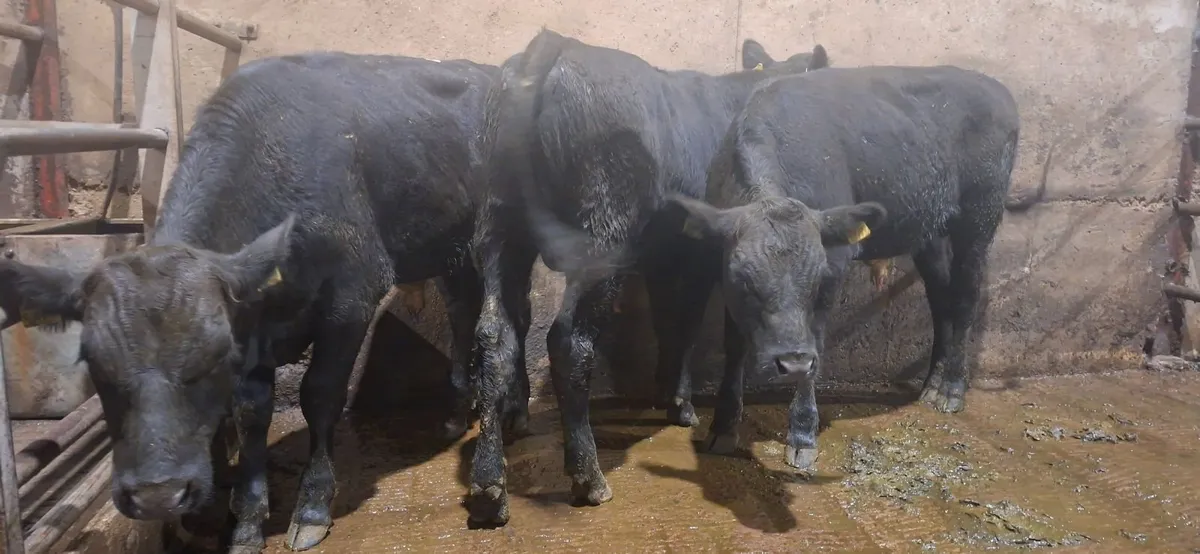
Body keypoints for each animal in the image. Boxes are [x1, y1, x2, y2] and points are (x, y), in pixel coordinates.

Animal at [0, 52, 527, 553]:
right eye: (94, 364)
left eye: (211, 359)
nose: (157, 496)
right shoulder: (250, 319)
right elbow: (252, 412)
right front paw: (247, 523)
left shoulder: (352, 296)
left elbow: (321, 395)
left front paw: (312, 508)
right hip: (452, 250)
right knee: (462, 315)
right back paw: (459, 411)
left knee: (503, 322)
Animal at [466, 28, 830, 527]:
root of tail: (556, 46)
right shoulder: (706, 252)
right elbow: (702, 325)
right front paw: (687, 406)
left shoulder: (665, 253)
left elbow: (668, 321)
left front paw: (668, 391)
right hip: (602, 235)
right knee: (568, 341)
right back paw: (588, 477)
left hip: (498, 225)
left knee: (495, 334)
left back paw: (489, 484)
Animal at [665, 65, 1020, 470]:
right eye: (743, 280)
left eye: (817, 279)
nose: (791, 362)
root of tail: (994, 87)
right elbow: (735, 345)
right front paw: (723, 427)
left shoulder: (834, 268)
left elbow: (816, 344)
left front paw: (803, 435)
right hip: (927, 231)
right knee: (940, 298)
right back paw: (931, 384)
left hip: (979, 217)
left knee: (964, 296)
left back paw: (951, 389)